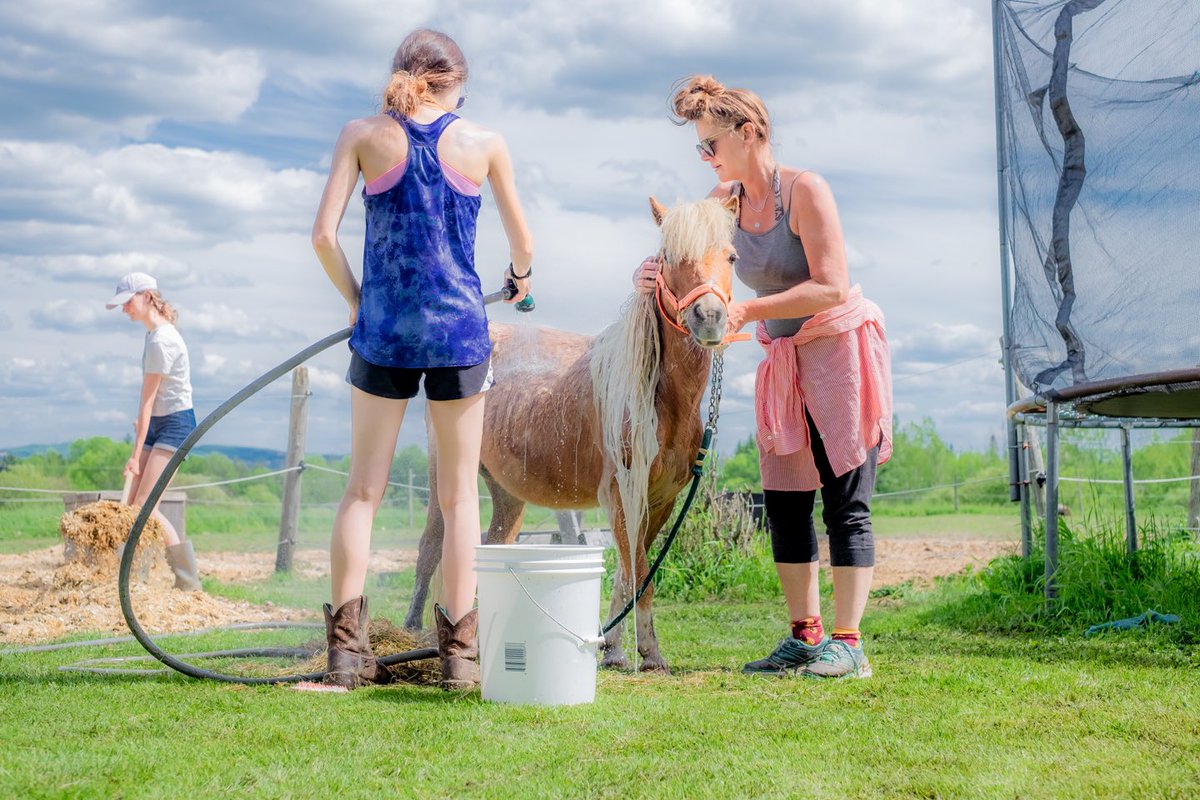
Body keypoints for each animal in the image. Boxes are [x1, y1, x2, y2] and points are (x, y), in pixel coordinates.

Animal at [405, 194, 739, 671]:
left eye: (730, 257)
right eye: (670, 257)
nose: (709, 317)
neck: (656, 396)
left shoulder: (659, 501)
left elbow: (630, 574)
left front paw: (614, 650)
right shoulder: (621, 493)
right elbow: (639, 570)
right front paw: (649, 653)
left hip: (508, 494)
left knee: (492, 545)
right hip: (442, 476)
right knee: (431, 546)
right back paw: (411, 632)